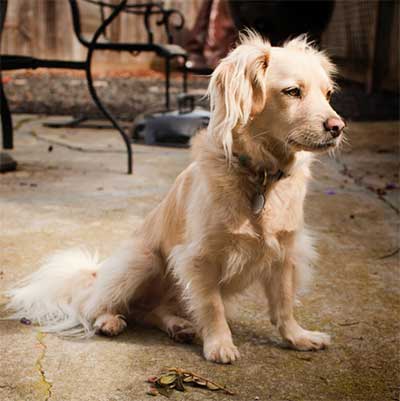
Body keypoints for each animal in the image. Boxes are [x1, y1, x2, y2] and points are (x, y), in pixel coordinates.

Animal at [5, 31, 344, 362]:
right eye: (292, 92)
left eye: (328, 94)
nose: (338, 127)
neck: (260, 176)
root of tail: (96, 272)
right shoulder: (198, 258)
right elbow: (211, 306)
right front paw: (219, 344)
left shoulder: (284, 253)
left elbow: (284, 304)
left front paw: (298, 337)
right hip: (142, 261)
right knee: (96, 306)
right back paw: (108, 320)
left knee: (149, 311)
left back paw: (177, 326)